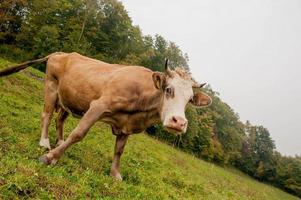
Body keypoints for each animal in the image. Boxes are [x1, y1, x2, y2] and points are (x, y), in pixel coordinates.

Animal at [0, 52, 211, 180]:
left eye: (190, 99)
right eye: (168, 90)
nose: (179, 122)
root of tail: (61, 53)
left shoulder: (127, 125)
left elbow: (119, 151)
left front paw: (115, 174)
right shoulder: (98, 106)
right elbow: (78, 133)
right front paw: (50, 157)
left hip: (68, 98)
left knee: (60, 119)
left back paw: (59, 141)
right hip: (51, 88)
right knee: (47, 114)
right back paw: (45, 143)